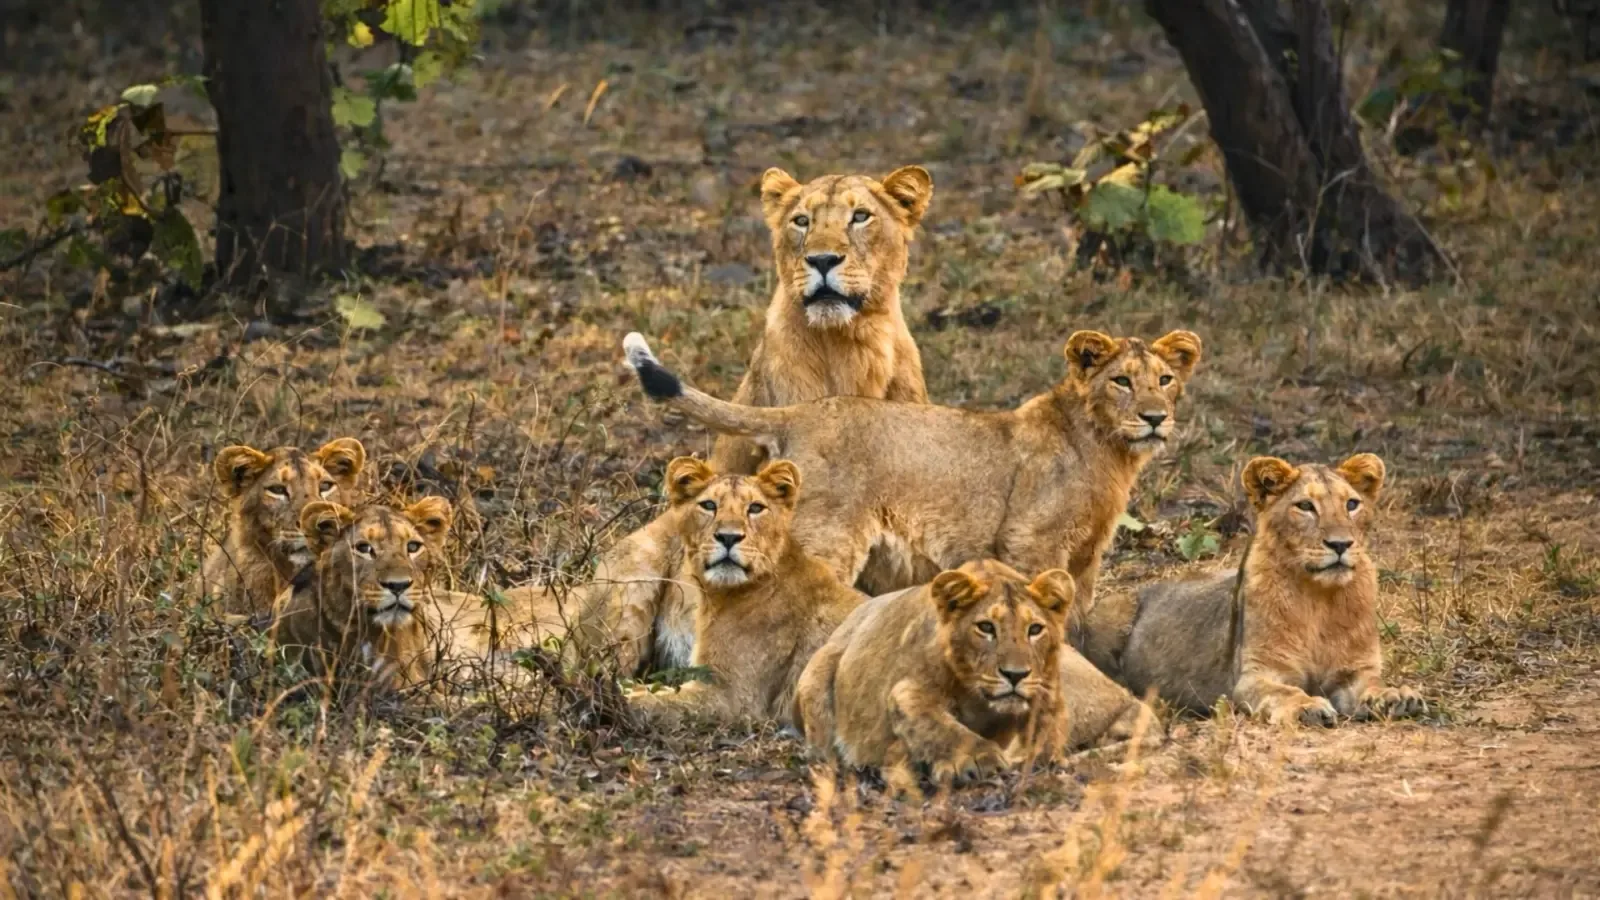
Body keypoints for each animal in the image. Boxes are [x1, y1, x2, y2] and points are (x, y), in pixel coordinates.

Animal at [623, 327, 1202, 609]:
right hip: (830, 539)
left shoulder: (1088, 553)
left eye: (1165, 379)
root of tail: (803, 412)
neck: (1108, 451)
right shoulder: (1029, 541)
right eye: (1122, 381)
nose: (1156, 417)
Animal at [624, 457, 864, 728]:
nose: (728, 537)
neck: (722, 595)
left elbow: (657, 702)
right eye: (709, 505)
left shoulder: (733, 697)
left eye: (756, 508)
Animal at [795, 560, 1073, 785]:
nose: (1015, 675)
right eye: (986, 627)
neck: (983, 705)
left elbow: (1046, 738)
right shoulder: (906, 691)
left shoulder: (1049, 694)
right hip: (818, 669)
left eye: (1035, 629)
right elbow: (938, 726)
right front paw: (980, 759)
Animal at [1082, 454, 1428, 727]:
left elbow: (1373, 684)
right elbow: (1284, 691)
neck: (1319, 598)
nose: (1341, 544)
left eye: (1352, 504)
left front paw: (1396, 696)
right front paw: (1307, 706)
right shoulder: (1256, 674)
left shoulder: (1354, 671)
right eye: (1305, 506)